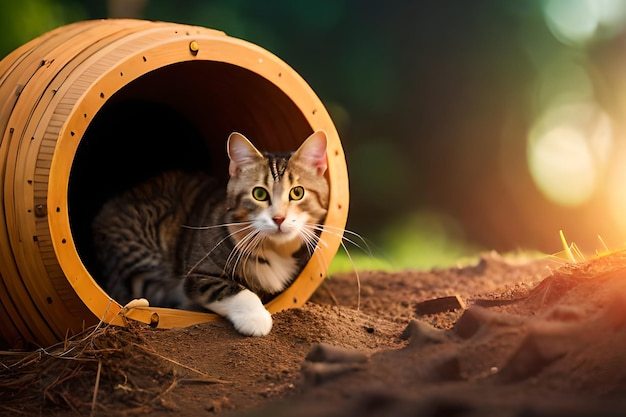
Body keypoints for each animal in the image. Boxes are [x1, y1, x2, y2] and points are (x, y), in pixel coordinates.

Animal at [92, 132, 330, 336]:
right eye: (259, 194)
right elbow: (235, 290)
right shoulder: (198, 274)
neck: (275, 248)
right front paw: (257, 318)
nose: (279, 218)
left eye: (297, 192)